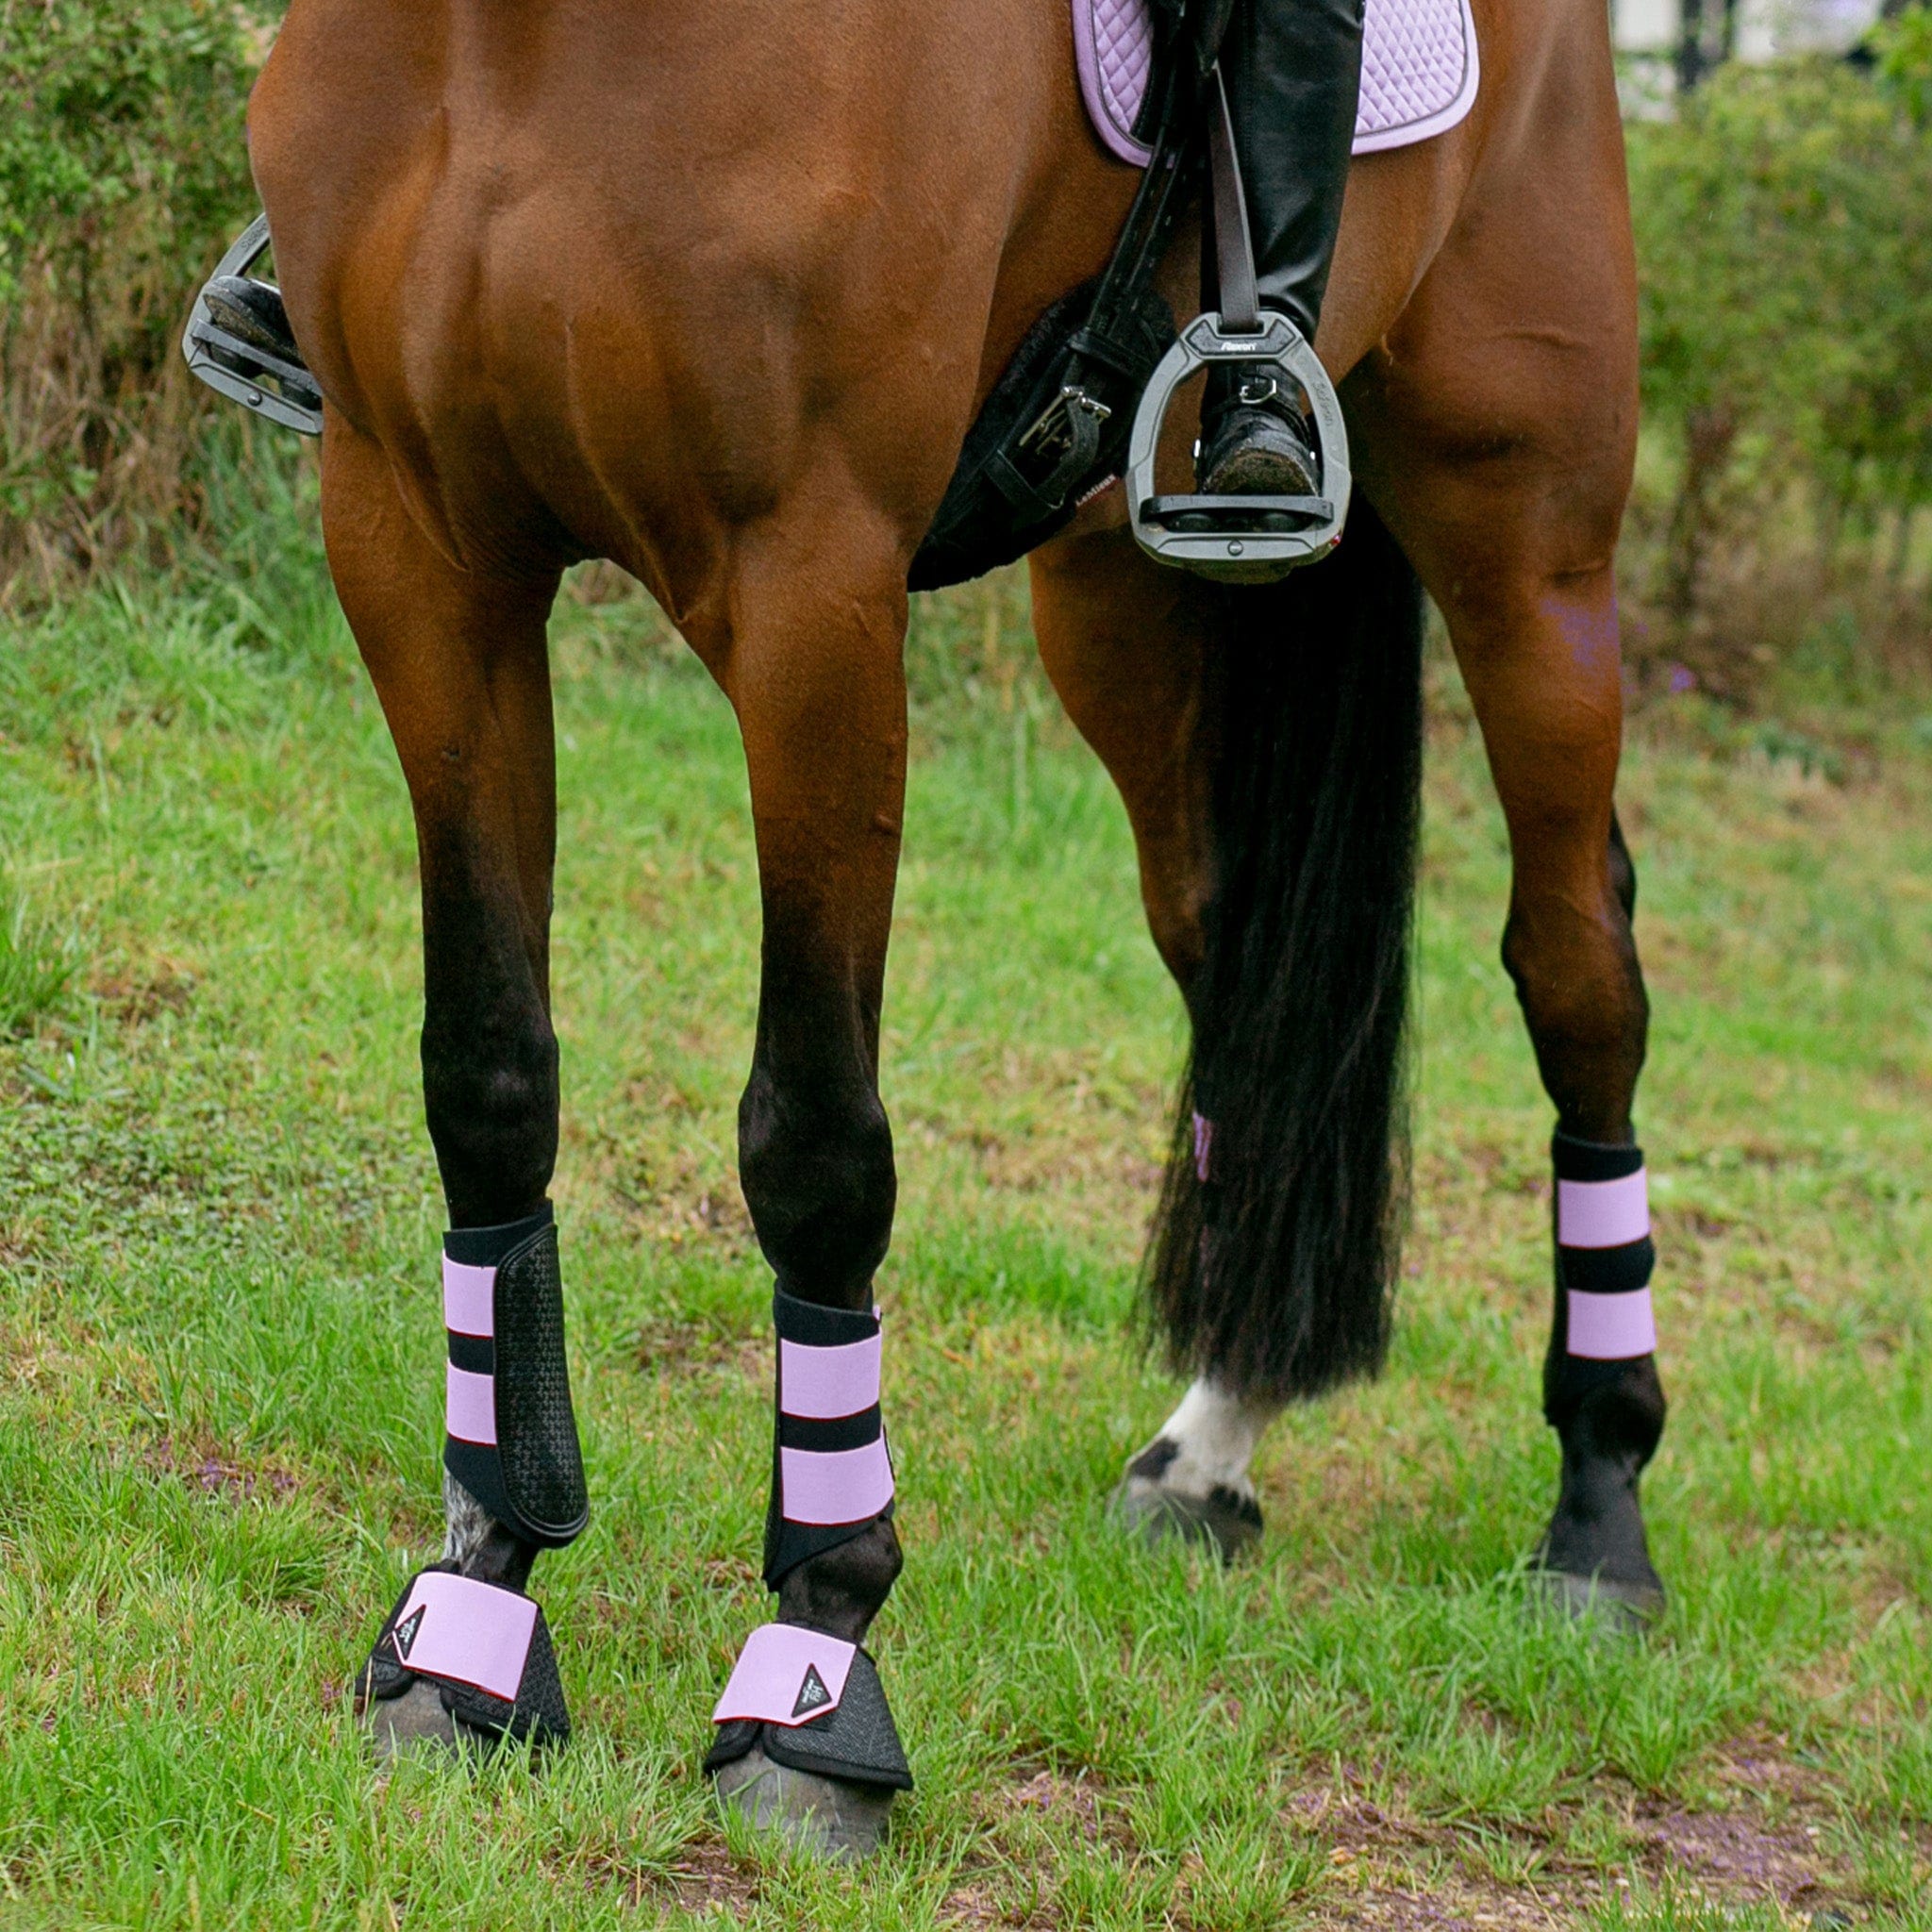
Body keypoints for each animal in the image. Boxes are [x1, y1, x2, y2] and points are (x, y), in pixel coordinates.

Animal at [245, 0, 1661, 1855]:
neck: (522, 40)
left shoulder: (811, 590)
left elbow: (815, 1145)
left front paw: (811, 1671)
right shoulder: (419, 543)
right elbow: (485, 1077)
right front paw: (469, 1623)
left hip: (1528, 545)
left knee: (1578, 971)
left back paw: (1600, 1511)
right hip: (1124, 603)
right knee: (1240, 986)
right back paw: (1215, 1441)